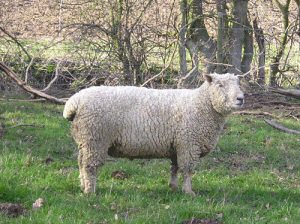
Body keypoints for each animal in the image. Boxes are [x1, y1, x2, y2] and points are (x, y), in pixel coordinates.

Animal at [62, 72, 244, 195]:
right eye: (220, 85)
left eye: (238, 84)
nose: (241, 98)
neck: (202, 104)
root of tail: (75, 101)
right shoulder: (188, 145)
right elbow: (187, 170)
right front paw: (188, 192)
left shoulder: (177, 145)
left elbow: (174, 168)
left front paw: (173, 187)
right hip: (96, 138)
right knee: (89, 166)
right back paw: (90, 191)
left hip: (85, 140)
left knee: (81, 163)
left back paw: (82, 186)